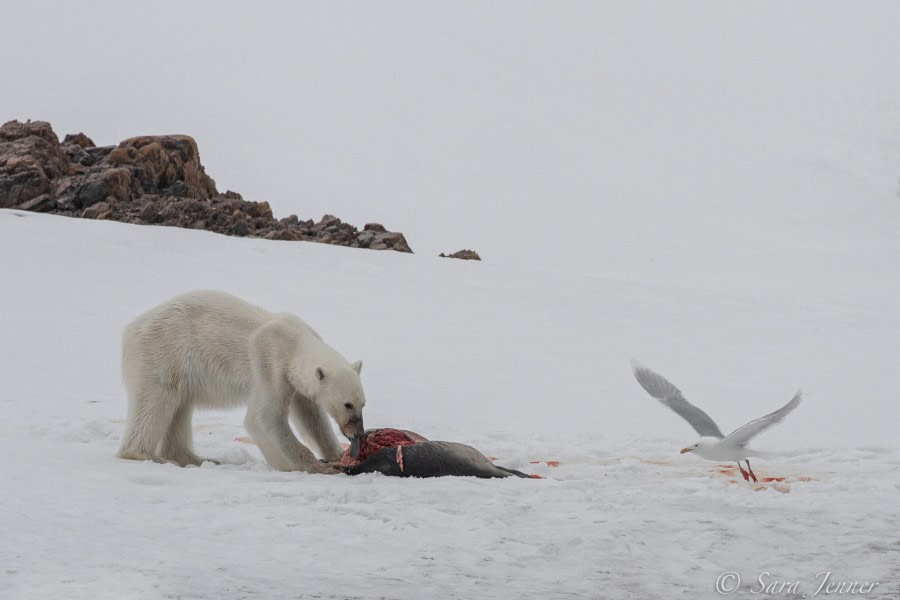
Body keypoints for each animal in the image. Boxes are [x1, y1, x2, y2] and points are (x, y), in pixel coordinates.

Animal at [118, 290, 366, 474]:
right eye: (347, 404)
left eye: (362, 403)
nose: (358, 434)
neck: (294, 340)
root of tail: (131, 328)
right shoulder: (270, 362)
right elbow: (265, 417)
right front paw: (321, 467)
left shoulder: (296, 383)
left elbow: (312, 417)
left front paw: (337, 455)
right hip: (162, 352)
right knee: (156, 401)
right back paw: (147, 455)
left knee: (181, 407)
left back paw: (195, 458)